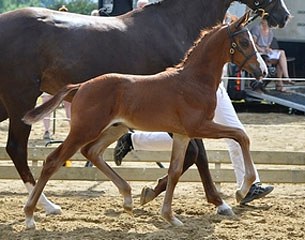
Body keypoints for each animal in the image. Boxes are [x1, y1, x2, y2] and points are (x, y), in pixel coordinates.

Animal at [0, 0, 288, 214]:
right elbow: (200, 154)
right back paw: (44, 205)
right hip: (23, 99)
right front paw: (220, 200)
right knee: (20, 149)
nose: (283, 15)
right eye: (245, 42)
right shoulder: (187, 121)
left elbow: (195, 155)